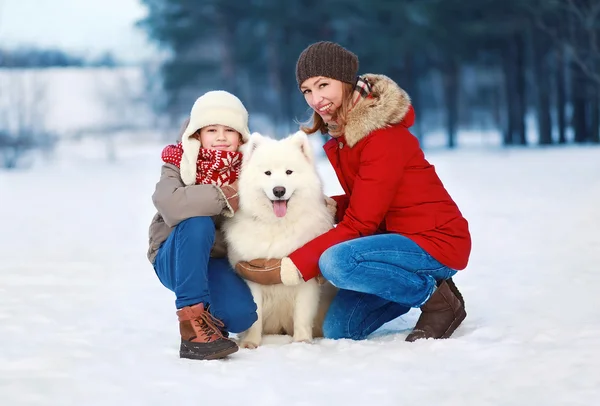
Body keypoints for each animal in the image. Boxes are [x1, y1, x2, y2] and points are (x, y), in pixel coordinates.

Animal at [224, 131, 338, 348]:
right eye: (267, 173)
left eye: (289, 172)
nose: (279, 190)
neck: (277, 224)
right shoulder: (251, 276)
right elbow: (255, 316)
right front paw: (251, 343)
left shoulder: (305, 280)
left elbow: (302, 315)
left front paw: (302, 342)